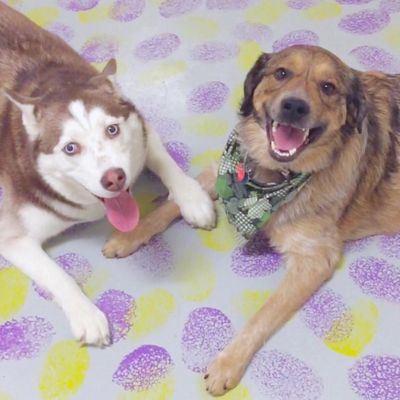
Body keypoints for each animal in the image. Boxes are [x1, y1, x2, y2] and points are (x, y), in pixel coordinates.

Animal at [102, 45, 400, 396]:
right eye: (281, 73)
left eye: (328, 87)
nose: (294, 106)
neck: (271, 177)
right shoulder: (219, 174)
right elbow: (174, 202)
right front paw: (129, 235)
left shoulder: (314, 259)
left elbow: (264, 315)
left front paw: (228, 362)